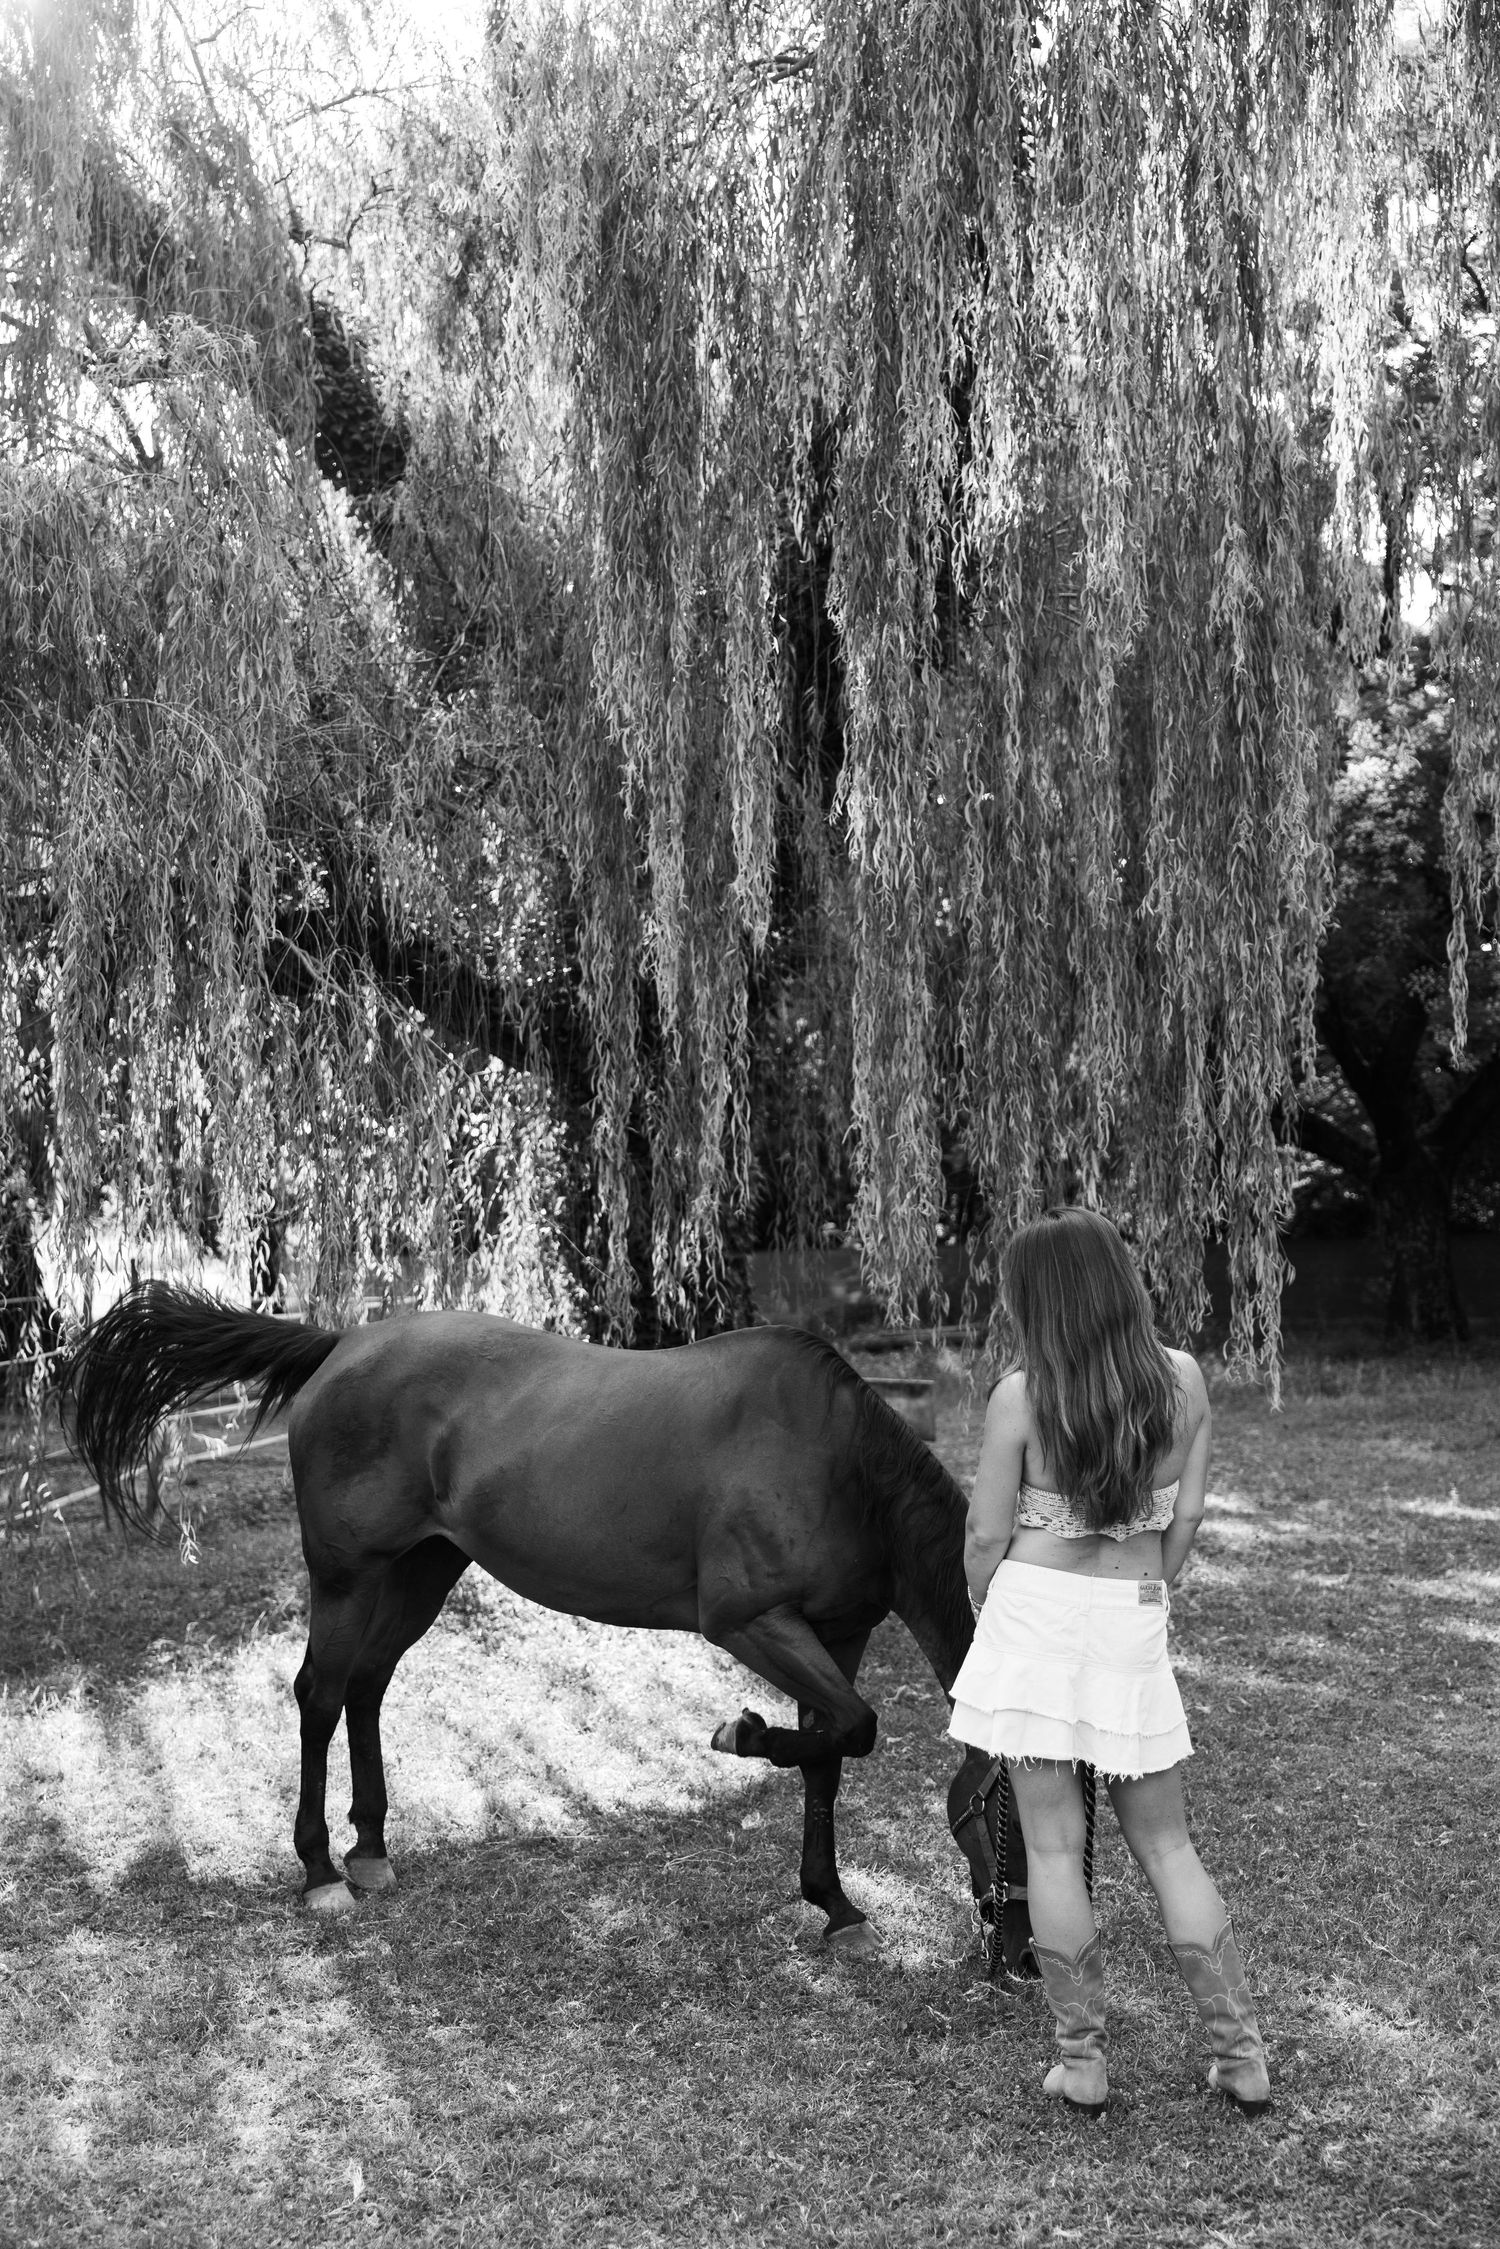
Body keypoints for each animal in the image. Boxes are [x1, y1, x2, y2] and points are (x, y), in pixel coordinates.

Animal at [59, 1283, 1038, 1960]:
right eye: (1015, 1815)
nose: (1026, 1957)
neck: (837, 1462)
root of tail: (342, 1343)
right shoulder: (752, 1623)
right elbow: (853, 1729)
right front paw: (740, 1734)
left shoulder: (837, 1635)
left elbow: (833, 1750)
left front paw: (834, 1906)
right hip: (347, 1578)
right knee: (319, 1694)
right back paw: (322, 1870)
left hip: (422, 1572)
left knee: (366, 1687)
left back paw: (370, 1846)